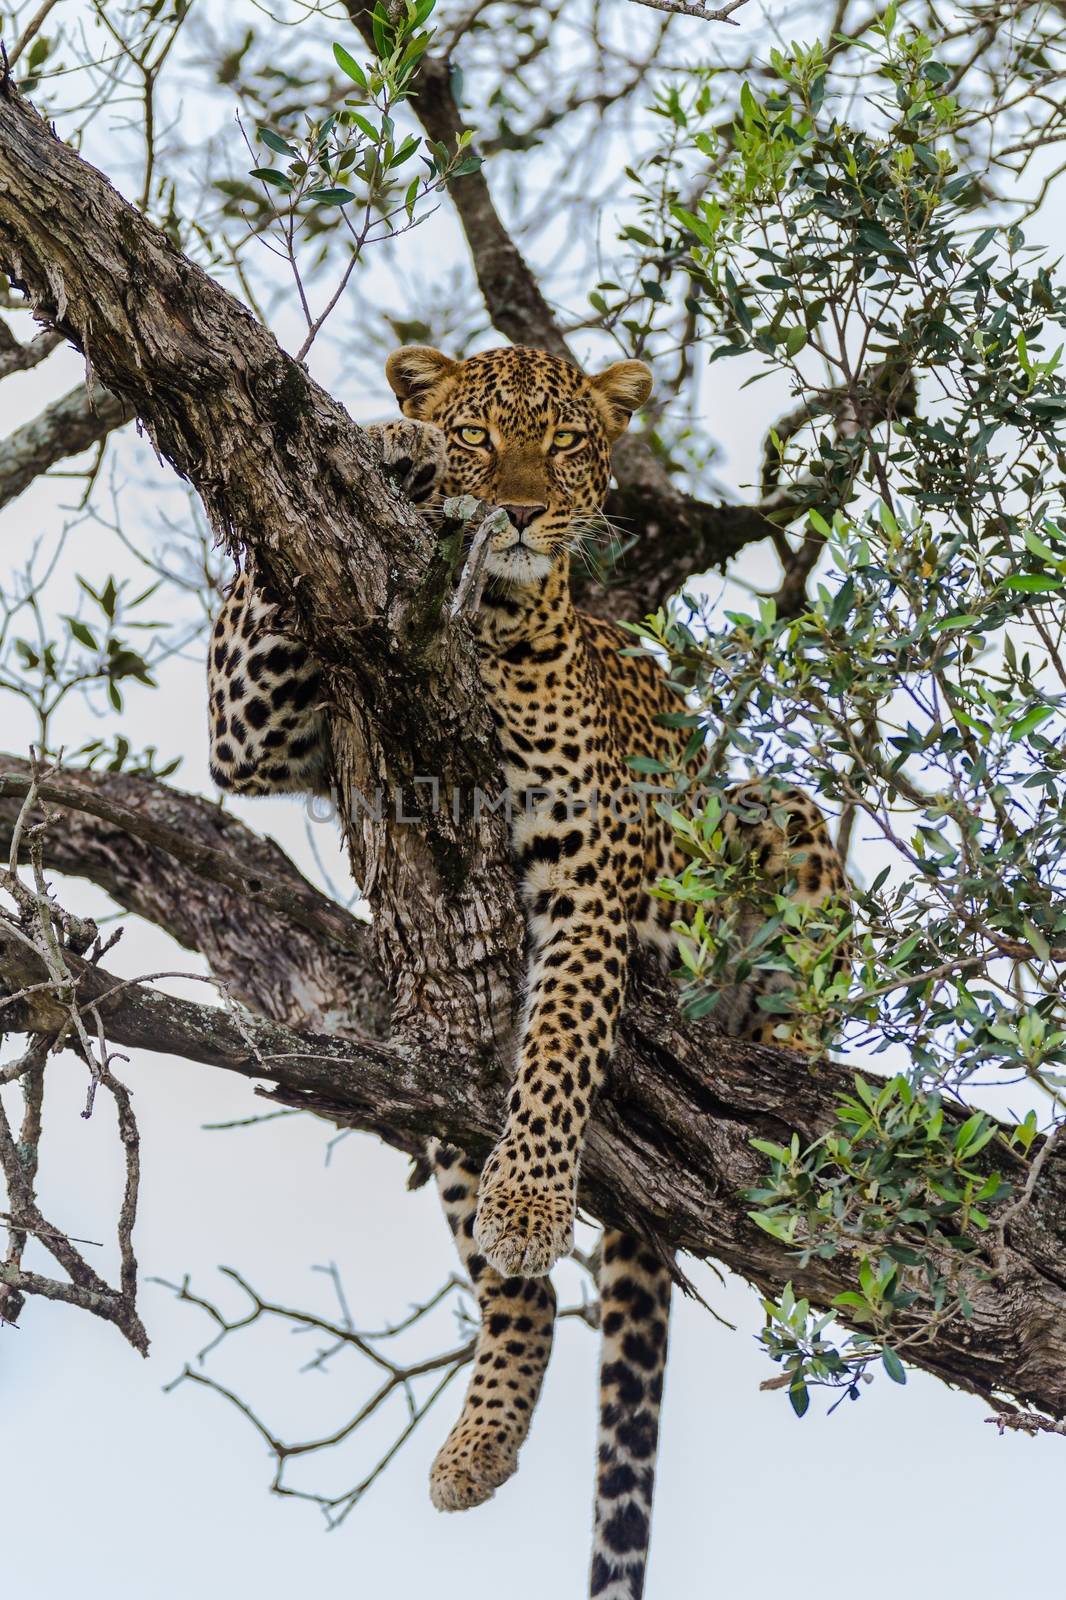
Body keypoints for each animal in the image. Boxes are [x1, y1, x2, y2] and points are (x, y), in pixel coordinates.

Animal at [203, 344, 845, 1593]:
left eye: (562, 445)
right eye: (479, 434)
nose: (512, 509)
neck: (493, 625)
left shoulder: (588, 881)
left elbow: (557, 1053)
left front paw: (535, 1195)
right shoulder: (254, 736)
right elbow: (260, 603)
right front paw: (386, 442)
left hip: (765, 809)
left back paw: (784, 1073)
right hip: (429, 1047)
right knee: (523, 1294)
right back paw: (482, 1431)